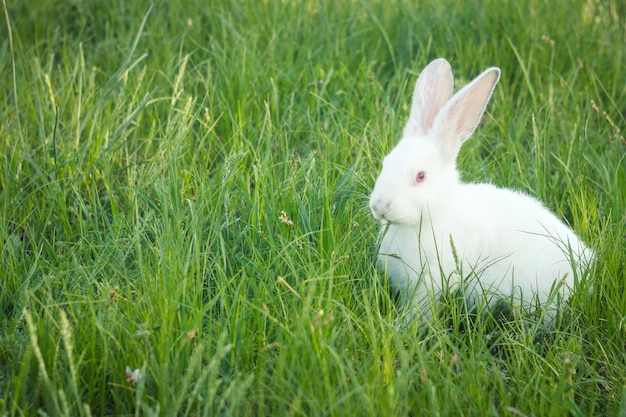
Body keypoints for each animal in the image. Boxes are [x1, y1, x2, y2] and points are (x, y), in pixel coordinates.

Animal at [368, 57, 592, 318]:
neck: (434, 215)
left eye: (421, 176)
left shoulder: (434, 279)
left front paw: (402, 324)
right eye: (385, 163)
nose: (379, 207)